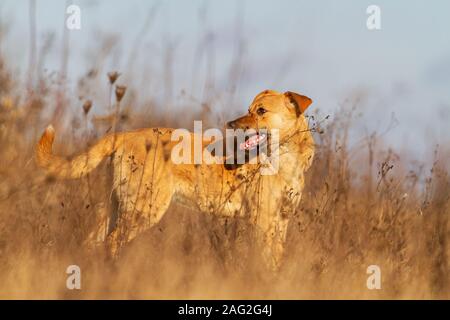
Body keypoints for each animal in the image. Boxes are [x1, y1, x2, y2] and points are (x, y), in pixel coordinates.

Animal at [35, 90, 314, 270]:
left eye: (261, 111)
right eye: (250, 109)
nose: (231, 123)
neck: (287, 162)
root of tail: (126, 134)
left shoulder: (281, 222)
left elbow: (275, 261)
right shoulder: (262, 222)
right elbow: (266, 261)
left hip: (116, 207)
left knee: (91, 242)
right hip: (144, 210)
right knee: (112, 243)